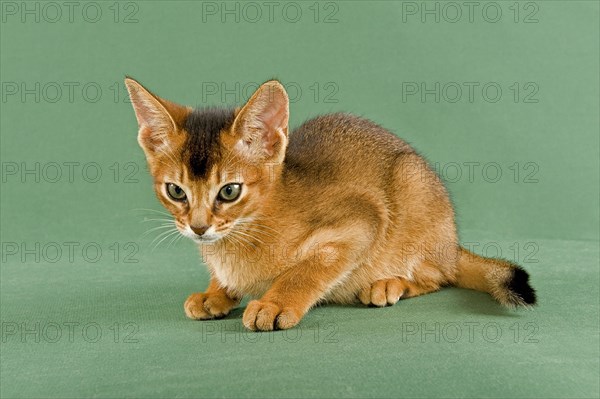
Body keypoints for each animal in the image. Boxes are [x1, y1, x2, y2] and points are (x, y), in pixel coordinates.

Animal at [124, 77, 536, 332]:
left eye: (229, 191)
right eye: (176, 191)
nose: (198, 227)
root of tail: (452, 243)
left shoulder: (364, 218)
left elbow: (307, 269)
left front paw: (275, 303)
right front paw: (215, 293)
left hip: (412, 185)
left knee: (439, 276)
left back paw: (389, 284)